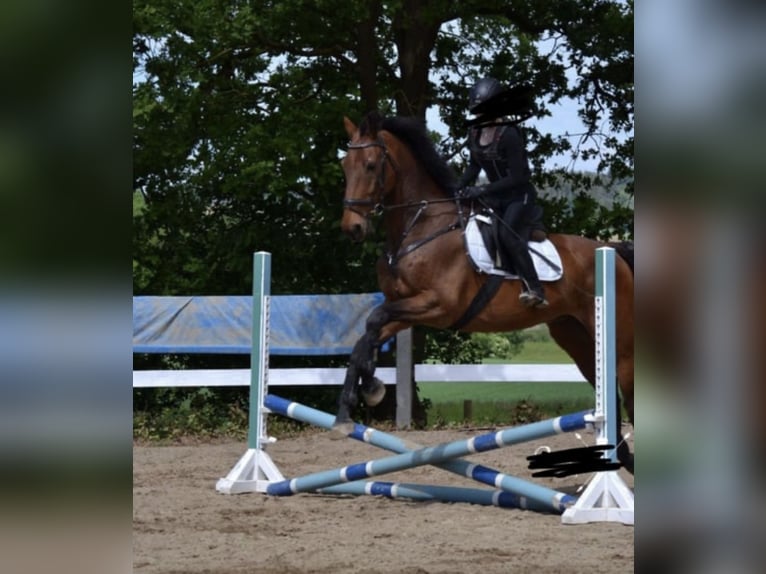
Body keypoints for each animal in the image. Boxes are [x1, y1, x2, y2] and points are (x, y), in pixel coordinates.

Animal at [338, 111, 636, 472]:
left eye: (370, 165)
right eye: (345, 165)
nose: (352, 228)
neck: (420, 227)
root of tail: (612, 250)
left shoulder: (438, 306)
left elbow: (374, 319)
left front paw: (369, 389)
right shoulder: (407, 308)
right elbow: (367, 335)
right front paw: (358, 399)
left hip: (621, 345)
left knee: (629, 393)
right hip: (574, 336)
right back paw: (622, 455)